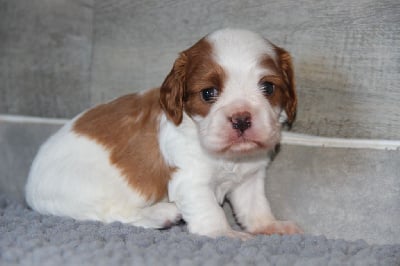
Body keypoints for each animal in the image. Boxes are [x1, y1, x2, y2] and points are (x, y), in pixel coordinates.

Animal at [25, 28, 300, 238]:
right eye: (208, 93)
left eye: (268, 88)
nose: (241, 119)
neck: (227, 156)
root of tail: (29, 188)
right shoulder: (191, 181)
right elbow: (210, 210)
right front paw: (224, 233)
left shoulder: (249, 178)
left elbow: (255, 206)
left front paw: (270, 226)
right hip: (89, 192)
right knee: (113, 215)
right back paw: (163, 214)